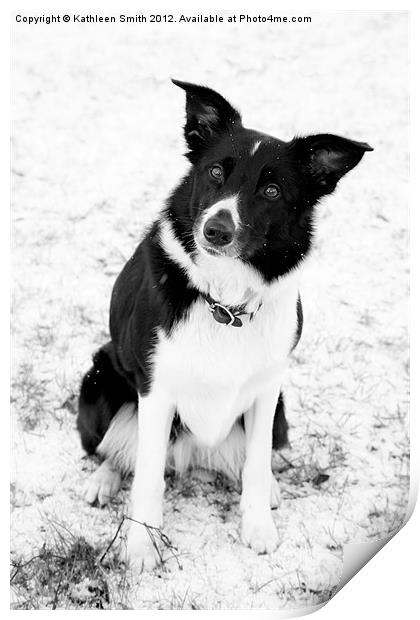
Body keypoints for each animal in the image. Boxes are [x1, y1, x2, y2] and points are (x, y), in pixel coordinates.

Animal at [77, 81, 372, 572]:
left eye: (271, 190)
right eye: (215, 171)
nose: (216, 230)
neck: (224, 303)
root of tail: (195, 453)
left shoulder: (268, 387)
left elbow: (255, 463)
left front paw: (257, 525)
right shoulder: (156, 389)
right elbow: (148, 477)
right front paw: (141, 546)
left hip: (281, 413)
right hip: (100, 380)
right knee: (118, 453)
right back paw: (103, 480)